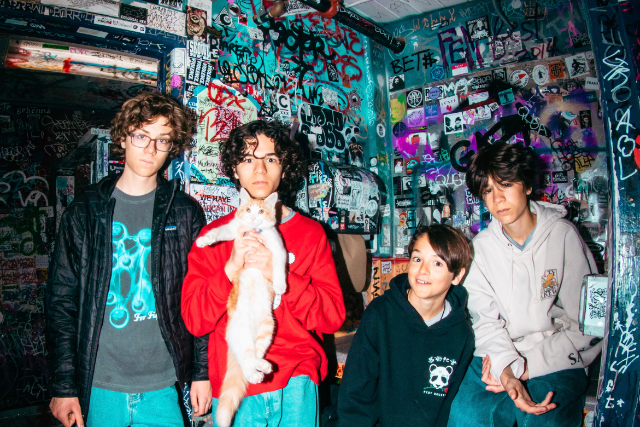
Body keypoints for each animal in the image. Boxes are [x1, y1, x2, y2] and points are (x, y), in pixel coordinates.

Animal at [195, 188, 287, 427]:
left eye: (261, 211)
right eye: (247, 209)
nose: (253, 217)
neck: (254, 232)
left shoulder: (277, 248)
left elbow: (279, 266)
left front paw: (281, 285)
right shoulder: (233, 229)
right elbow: (217, 232)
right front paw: (203, 240)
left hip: (267, 330)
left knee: (254, 356)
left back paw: (263, 366)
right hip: (243, 334)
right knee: (246, 362)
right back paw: (256, 373)